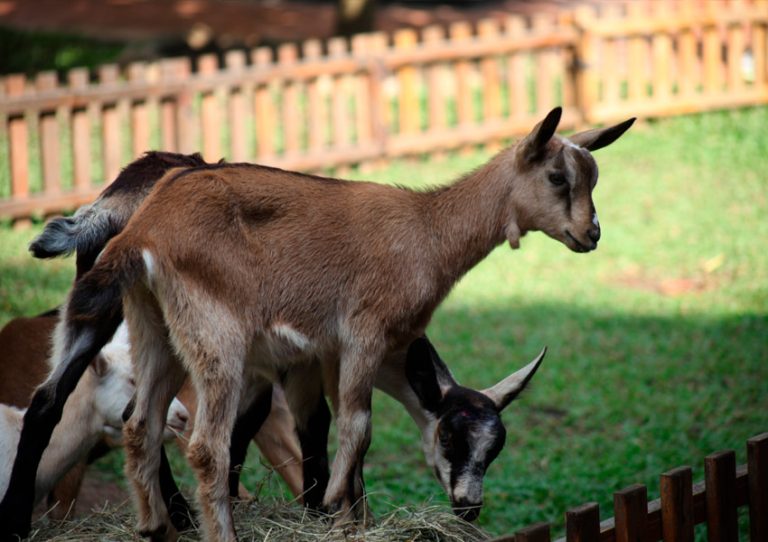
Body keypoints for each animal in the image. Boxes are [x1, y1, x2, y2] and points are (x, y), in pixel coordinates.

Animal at [0, 107, 632, 542]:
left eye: (496, 446)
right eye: (558, 177)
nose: (592, 234)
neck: (424, 231)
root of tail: (141, 223)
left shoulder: (314, 357)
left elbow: (325, 431)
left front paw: (341, 514)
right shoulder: (360, 337)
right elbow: (356, 428)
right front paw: (333, 511)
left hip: (142, 324)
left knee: (109, 417)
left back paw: (148, 527)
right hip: (215, 338)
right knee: (204, 445)